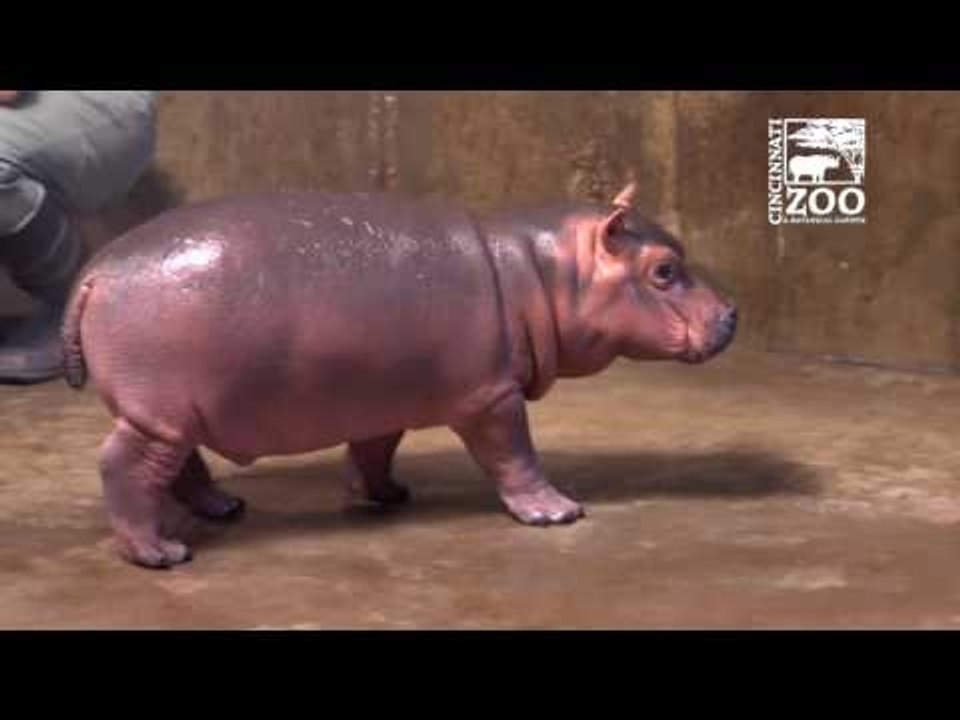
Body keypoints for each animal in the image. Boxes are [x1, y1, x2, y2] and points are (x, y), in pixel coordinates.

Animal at [63, 182, 737, 568]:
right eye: (664, 270)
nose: (732, 313)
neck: (541, 272)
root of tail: (94, 272)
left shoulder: (381, 397)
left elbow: (374, 450)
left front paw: (386, 496)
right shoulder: (492, 397)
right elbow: (514, 455)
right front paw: (558, 513)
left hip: (176, 413)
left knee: (181, 466)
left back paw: (226, 507)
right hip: (158, 413)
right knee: (123, 466)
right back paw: (162, 554)